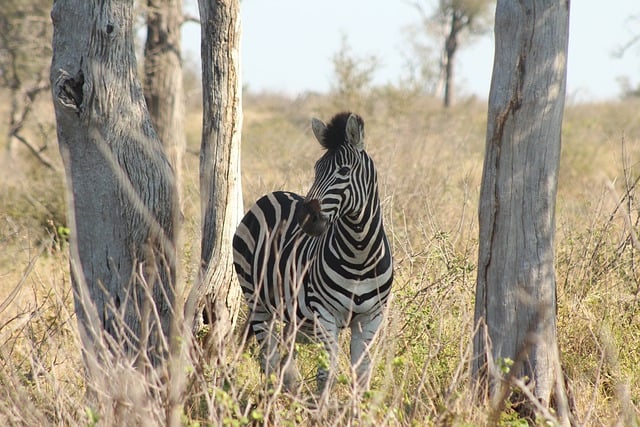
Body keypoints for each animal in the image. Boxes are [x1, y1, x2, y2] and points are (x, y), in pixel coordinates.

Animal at [232, 112, 392, 396]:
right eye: (316, 169)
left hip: (292, 313)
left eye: (343, 171)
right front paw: (323, 408)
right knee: (269, 358)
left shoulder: (371, 318)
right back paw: (273, 400)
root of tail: (272, 194)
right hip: (257, 301)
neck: (360, 254)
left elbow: (361, 375)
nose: (305, 218)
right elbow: (326, 374)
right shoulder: (325, 315)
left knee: (284, 357)